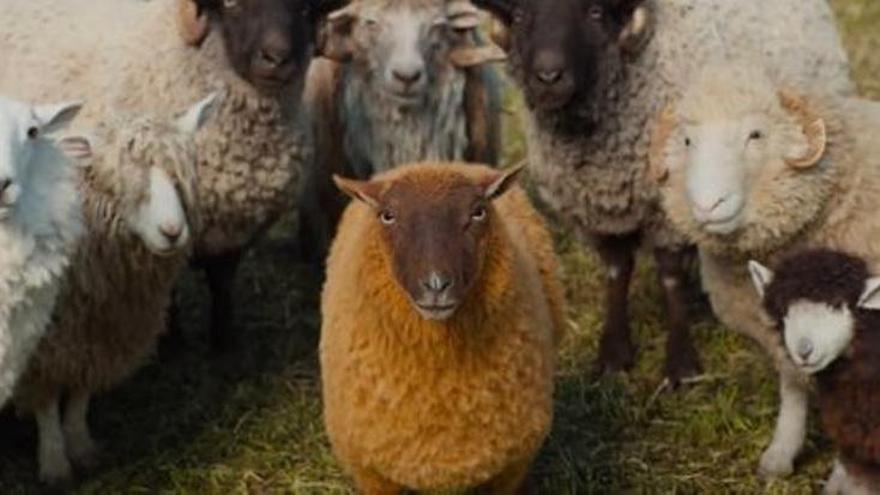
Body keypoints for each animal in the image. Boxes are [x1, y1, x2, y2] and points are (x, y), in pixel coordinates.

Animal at [0, 0, 341, 351]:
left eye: (305, 9)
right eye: (231, 5)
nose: (277, 59)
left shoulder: (235, 232)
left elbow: (222, 284)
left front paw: (224, 341)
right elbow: (171, 290)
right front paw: (171, 341)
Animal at [12, 95, 217, 485]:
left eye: (181, 178)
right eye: (119, 179)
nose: (172, 231)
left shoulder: (101, 332)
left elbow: (81, 393)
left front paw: (81, 446)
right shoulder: (42, 345)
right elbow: (46, 402)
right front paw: (55, 463)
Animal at [471, 0, 854, 392]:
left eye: (594, 13)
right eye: (519, 16)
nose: (548, 77)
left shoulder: (669, 209)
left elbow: (670, 277)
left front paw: (681, 366)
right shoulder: (597, 213)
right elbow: (616, 271)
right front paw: (613, 357)